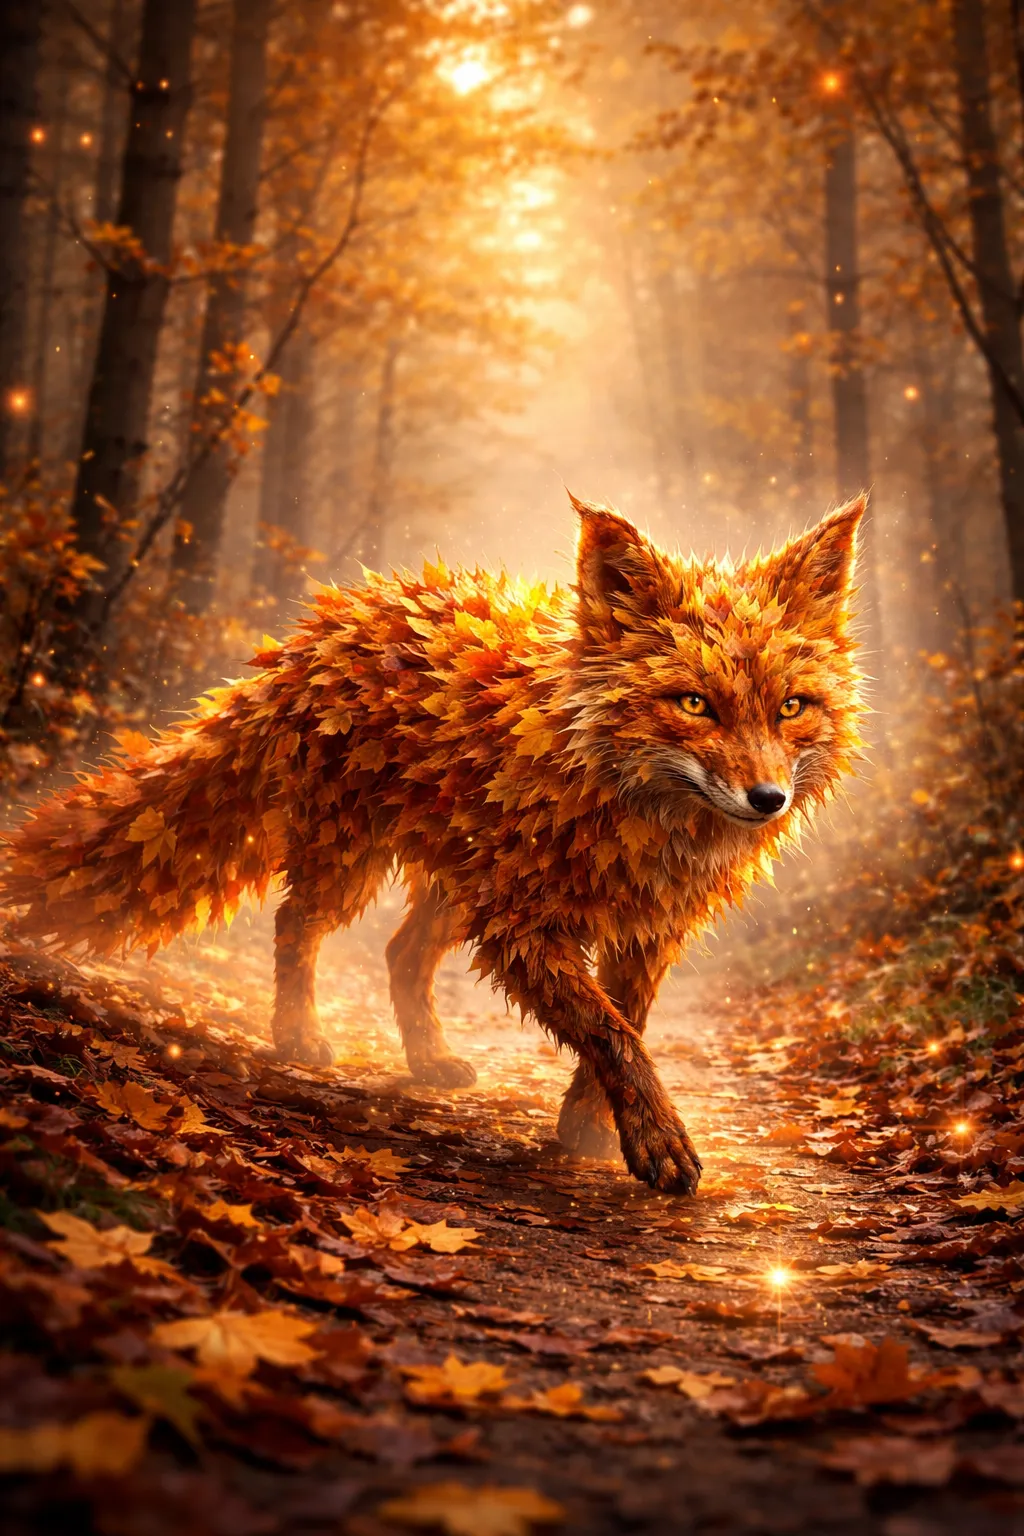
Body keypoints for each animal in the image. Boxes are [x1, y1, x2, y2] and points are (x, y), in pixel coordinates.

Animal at [0, 492, 865, 1195]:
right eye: (693, 704)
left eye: (791, 708)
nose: (768, 800)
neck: (636, 820)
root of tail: (332, 619)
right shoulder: (522, 926)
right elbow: (609, 1033)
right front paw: (653, 1139)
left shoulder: (649, 931)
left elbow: (629, 1024)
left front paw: (589, 1128)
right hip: (359, 862)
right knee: (297, 925)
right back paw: (298, 1036)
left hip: (457, 888)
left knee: (400, 953)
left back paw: (425, 1059)